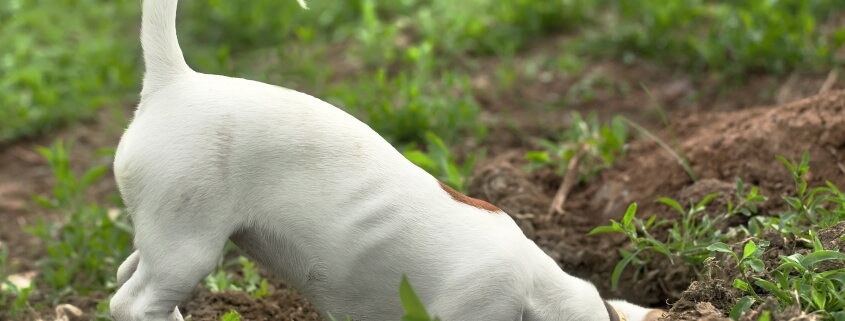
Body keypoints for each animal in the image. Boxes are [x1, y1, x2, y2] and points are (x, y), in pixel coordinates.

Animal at [109, 1, 664, 318]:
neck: (538, 290)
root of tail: (174, 81)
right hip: (187, 248)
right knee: (130, 303)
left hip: (167, 242)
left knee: (129, 277)